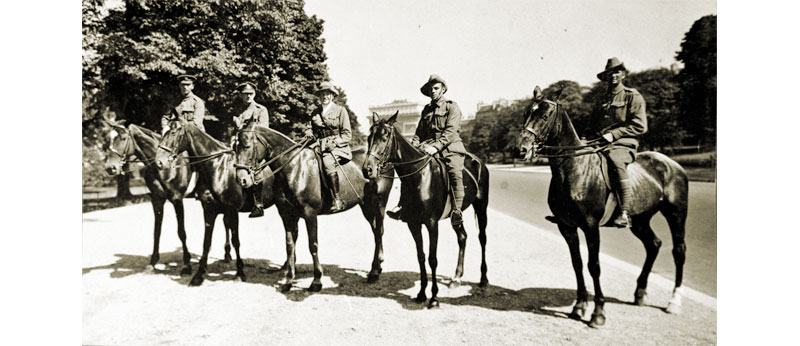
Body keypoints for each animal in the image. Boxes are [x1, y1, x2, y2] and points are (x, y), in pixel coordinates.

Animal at [100, 120, 234, 274]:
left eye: (122, 138)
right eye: (107, 139)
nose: (110, 168)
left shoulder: (177, 199)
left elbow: (181, 232)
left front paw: (186, 264)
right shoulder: (157, 200)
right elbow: (156, 231)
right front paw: (152, 262)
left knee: (226, 222)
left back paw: (227, 254)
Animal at [155, 119, 276, 286]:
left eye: (173, 132)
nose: (159, 162)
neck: (217, 167)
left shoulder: (232, 210)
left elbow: (236, 240)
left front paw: (240, 273)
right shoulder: (209, 210)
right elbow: (206, 242)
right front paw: (198, 275)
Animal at [233, 123, 396, 292]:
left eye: (246, 145)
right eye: (234, 147)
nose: (241, 179)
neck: (294, 168)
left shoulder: (309, 214)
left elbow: (313, 245)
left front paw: (316, 281)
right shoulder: (287, 215)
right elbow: (290, 246)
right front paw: (288, 280)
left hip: (379, 203)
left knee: (379, 231)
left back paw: (374, 272)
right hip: (366, 205)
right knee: (376, 231)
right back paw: (376, 268)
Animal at [360, 112, 488, 310]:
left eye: (384, 137)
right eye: (368, 138)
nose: (368, 169)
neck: (418, 176)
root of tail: (479, 160)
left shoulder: (431, 223)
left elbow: (432, 259)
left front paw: (434, 297)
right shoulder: (413, 223)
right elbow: (421, 256)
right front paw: (421, 293)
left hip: (481, 206)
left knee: (482, 238)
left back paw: (483, 279)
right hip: (456, 215)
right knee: (462, 236)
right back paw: (456, 277)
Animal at [520, 89, 688, 328]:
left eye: (544, 116)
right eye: (526, 113)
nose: (523, 149)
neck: (573, 169)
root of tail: (670, 163)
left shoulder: (591, 227)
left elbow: (594, 265)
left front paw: (598, 312)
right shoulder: (567, 227)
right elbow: (577, 263)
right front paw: (579, 306)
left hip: (676, 213)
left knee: (678, 251)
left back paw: (674, 301)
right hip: (640, 220)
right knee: (653, 245)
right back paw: (640, 292)